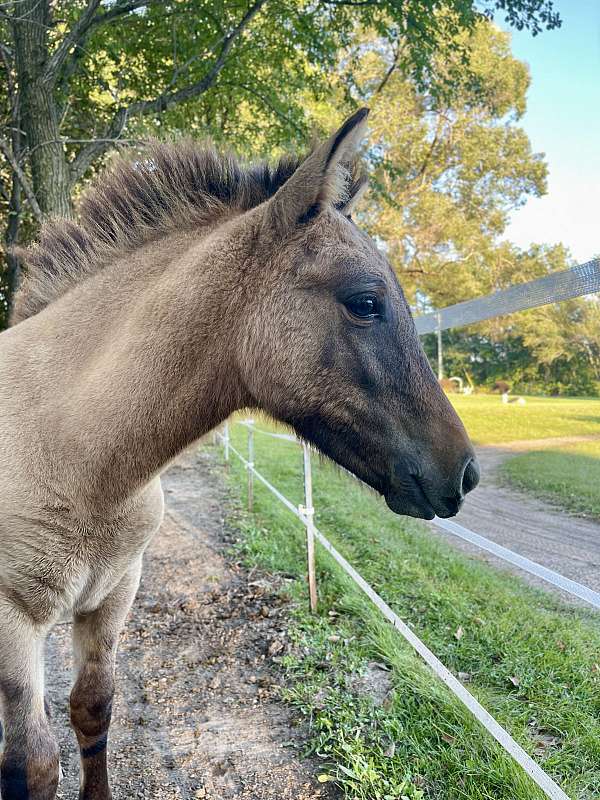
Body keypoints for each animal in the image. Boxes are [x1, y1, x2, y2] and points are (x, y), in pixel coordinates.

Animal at [0, 111, 478, 800]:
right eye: (365, 301)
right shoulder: (12, 623)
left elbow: (93, 709)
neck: (73, 453)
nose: (464, 472)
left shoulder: (113, 596)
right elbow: (33, 763)